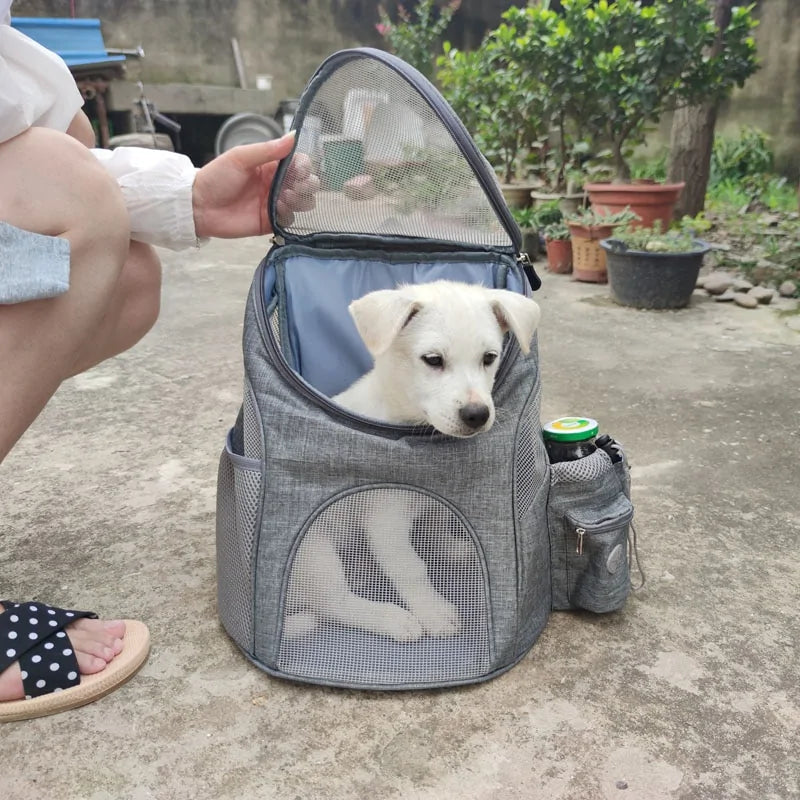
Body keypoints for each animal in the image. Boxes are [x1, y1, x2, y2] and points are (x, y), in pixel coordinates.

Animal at [284, 282, 540, 644]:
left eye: (489, 358)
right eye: (433, 360)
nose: (477, 415)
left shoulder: (433, 502)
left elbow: (436, 529)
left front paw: (451, 550)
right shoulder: (384, 520)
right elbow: (412, 568)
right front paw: (433, 612)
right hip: (313, 553)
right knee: (333, 603)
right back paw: (392, 618)